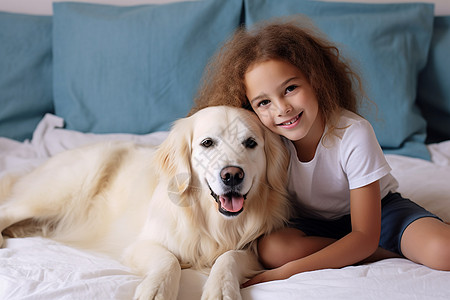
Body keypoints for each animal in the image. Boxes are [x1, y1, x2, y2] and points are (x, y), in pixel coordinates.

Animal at [0, 106, 290, 300]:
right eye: (207, 143)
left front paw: (221, 290)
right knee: (8, 209)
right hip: (62, 190)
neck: (211, 219)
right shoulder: (140, 245)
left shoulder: (255, 252)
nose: (232, 175)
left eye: (250, 143)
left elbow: (229, 257)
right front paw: (156, 290)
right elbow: (168, 260)